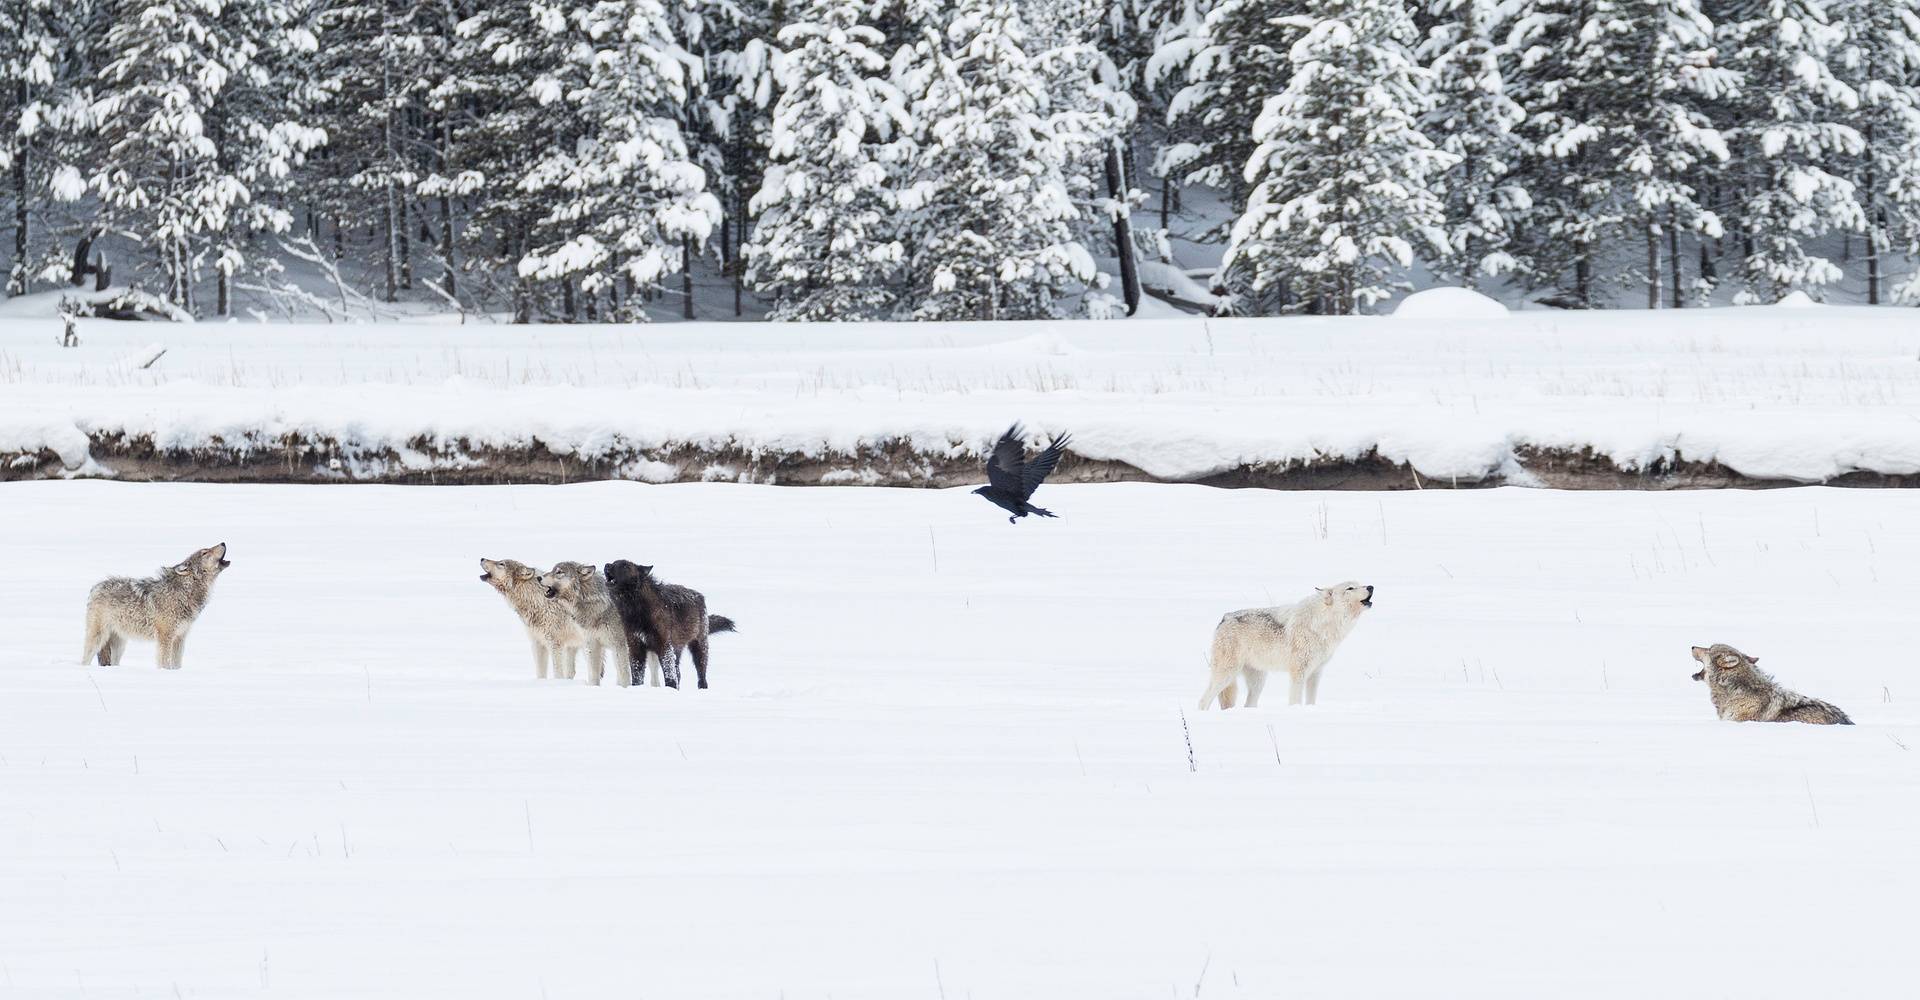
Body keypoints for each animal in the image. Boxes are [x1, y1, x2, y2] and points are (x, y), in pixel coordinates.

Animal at [81, 541, 231, 667]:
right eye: (205, 552)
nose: (223, 542)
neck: (184, 592)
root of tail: (95, 588)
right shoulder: (165, 638)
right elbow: (165, 663)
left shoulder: (179, 638)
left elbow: (176, 664)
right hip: (98, 637)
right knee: (85, 659)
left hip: (119, 644)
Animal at [602, 556, 737, 690]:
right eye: (614, 562)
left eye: (625, 566)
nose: (606, 565)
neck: (638, 610)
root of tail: (699, 595)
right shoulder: (635, 648)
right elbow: (637, 675)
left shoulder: (665, 648)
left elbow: (669, 674)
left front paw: (670, 688)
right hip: (677, 650)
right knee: (679, 673)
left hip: (699, 647)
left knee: (701, 673)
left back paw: (702, 688)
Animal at [1190, 575, 1374, 710]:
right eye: (1350, 588)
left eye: (1360, 584)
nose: (1371, 587)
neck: (1324, 624)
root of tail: (1224, 618)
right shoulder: (1298, 673)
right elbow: (1295, 700)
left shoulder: (1315, 673)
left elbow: (1311, 701)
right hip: (1226, 675)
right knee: (1203, 701)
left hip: (1257, 682)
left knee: (1248, 705)